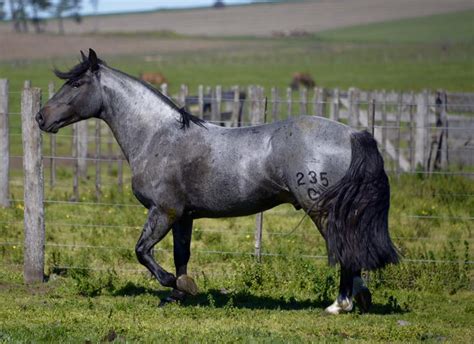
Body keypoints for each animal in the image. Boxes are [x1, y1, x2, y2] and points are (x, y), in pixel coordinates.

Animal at [36, 49, 396, 316]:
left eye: (77, 83)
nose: (41, 117)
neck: (159, 137)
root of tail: (353, 133)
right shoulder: (183, 216)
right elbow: (181, 255)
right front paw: (181, 291)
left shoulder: (163, 211)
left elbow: (142, 251)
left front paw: (173, 284)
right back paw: (360, 297)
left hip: (322, 209)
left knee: (344, 249)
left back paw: (340, 304)